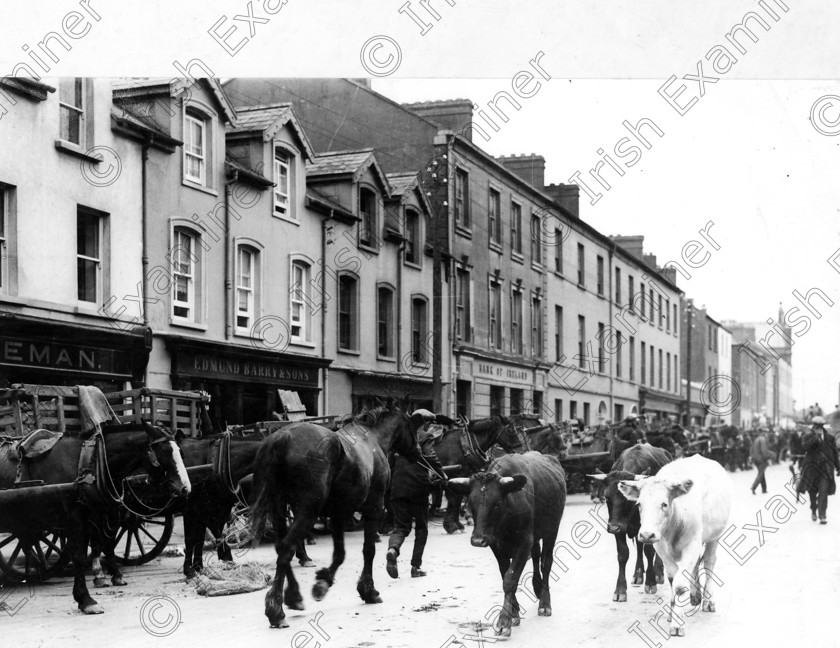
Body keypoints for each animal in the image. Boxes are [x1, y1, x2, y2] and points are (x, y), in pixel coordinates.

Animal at [0, 422, 189, 616]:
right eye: (164, 451)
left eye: (180, 452)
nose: (185, 487)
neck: (90, 461)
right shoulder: (75, 519)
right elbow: (80, 556)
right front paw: (86, 600)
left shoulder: (98, 514)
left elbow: (104, 544)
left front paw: (108, 577)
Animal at [249, 404, 446, 628]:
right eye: (413, 428)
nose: (418, 453)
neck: (372, 439)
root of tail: (281, 437)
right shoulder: (374, 508)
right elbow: (368, 550)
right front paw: (368, 590)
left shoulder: (337, 513)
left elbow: (339, 554)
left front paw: (323, 582)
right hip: (307, 511)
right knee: (286, 548)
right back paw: (276, 609)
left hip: (280, 510)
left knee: (282, 548)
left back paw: (293, 597)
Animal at [446, 450, 564, 636]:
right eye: (471, 503)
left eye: (496, 504)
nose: (477, 540)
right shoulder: (497, 545)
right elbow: (505, 575)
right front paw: (514, 613)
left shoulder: (524, 543)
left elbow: (510, 579)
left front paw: (504, 620)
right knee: (536, 556)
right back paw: (537, 588)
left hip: (552, 529)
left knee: (546, 562)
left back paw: (545, 603)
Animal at [588, 446, 672, 604]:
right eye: (607, 498)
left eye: (626, 499)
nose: (613, 527)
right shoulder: (621, 528)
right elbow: (623, 554)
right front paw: (620, 590)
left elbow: (649, 551)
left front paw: (651, 582)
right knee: (639, 547)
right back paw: (638, 574)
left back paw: (658, 573)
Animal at [616, 454, 728, 636]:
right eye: (639, 504)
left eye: (664, 504)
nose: (646, 534)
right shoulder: (662, 550)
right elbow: (672, 579)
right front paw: (672, 612)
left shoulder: (691, 546)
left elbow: (680, 585)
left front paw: (677, 624)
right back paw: (695, 596)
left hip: (714, 536)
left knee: (709, 562)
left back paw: (708, 601)